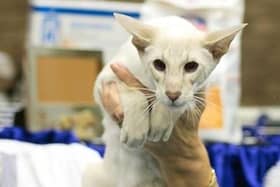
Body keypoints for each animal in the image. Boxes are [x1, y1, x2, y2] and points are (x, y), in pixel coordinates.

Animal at [82, 13, 245, 187]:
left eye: (191, 66)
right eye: (159, 64)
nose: (172, 94)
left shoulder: (197, 93)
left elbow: (177, 104)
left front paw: (160, 121)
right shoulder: (105, 79)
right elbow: (134, 92)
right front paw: (135, 130)